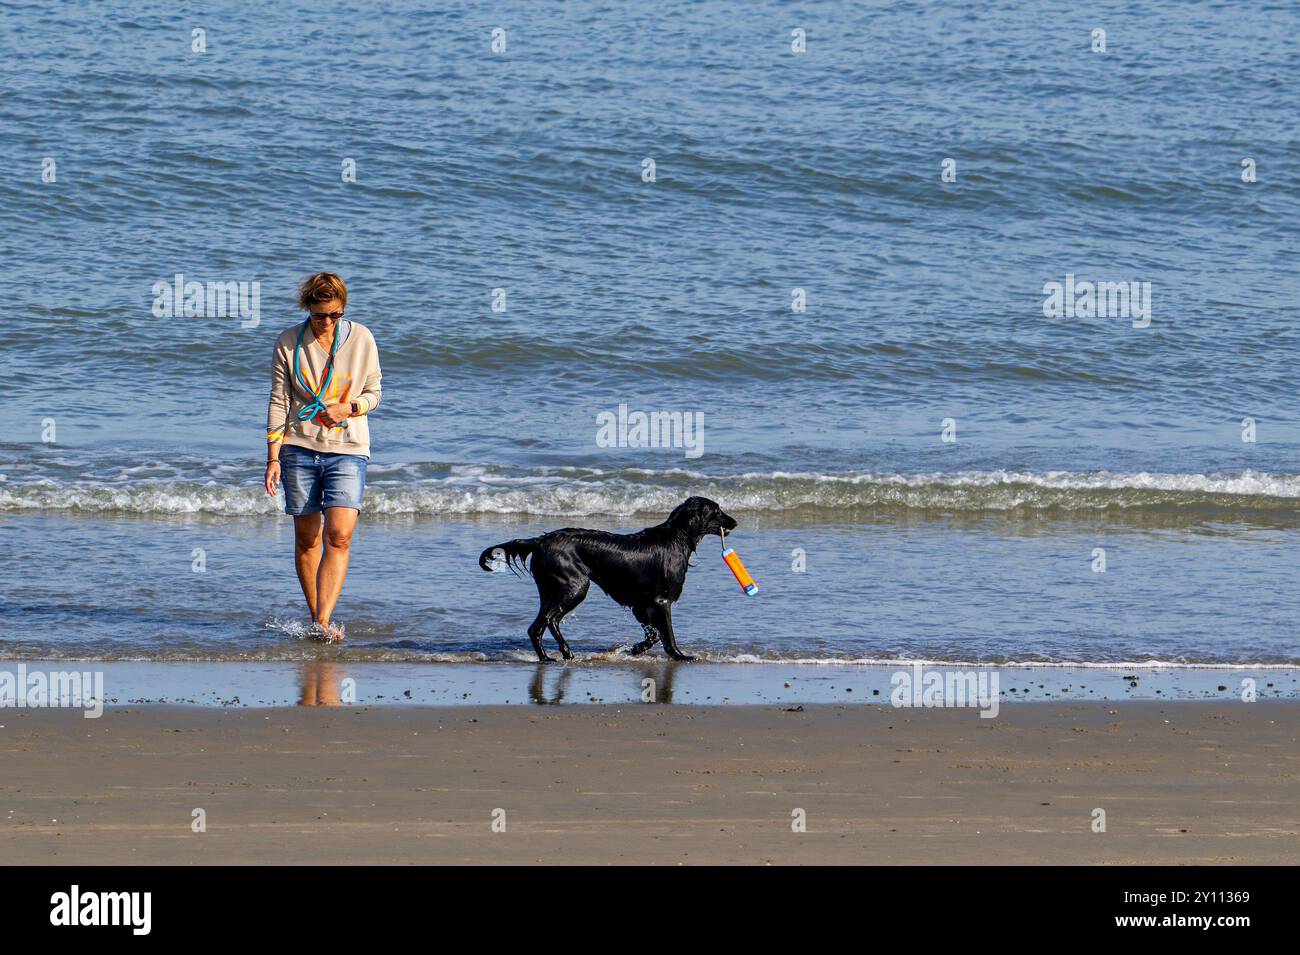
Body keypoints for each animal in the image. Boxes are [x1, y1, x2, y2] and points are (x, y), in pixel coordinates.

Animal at [480, 496, 743, 660]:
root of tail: (540, 540)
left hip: (551, 589)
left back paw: (552, 655)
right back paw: (560, 653)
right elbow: (667, 635)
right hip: (575, 585)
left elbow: (654, 634)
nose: (735, 521)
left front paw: (636, 650)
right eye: (716, 510)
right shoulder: (661, 600)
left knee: (538, 626)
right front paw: (681, 656)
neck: (677, 537)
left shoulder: (641, 604)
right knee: (547, 621)